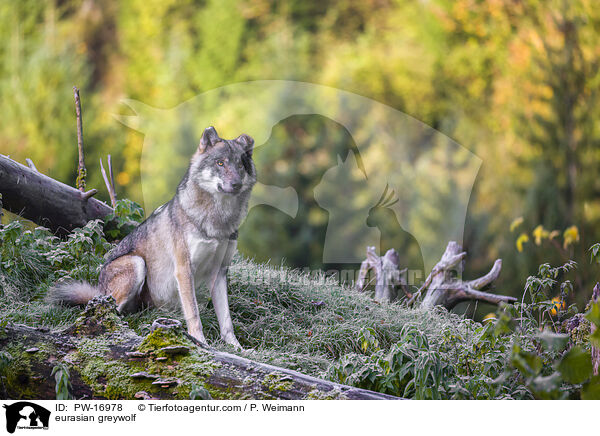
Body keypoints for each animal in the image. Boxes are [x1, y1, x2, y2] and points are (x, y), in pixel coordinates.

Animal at [50, 126, 256, 348]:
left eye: (240, 165)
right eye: (220, 163)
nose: (236, 184)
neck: (218, 221)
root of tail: (98, 291)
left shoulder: (219, 273)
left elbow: (227, 321)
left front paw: (237, 348)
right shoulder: (184, 270)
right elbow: (194, 314)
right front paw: (200, 342)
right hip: (136, 263)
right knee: (109, 312)